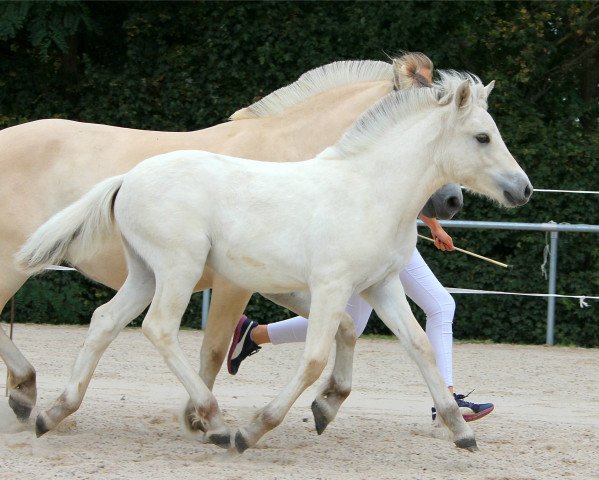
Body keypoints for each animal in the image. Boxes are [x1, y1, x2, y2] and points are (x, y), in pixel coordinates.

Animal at [16, 69, 532, 452]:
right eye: (482, 137)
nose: (523, 189)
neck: (369, 189)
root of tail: (128, 177)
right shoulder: (330, 285)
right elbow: (314, 357)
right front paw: (257, 427)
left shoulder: (380, 285)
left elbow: (417, 346)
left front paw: (460, 431)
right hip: (178, 270)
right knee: (158, 328)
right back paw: (215, 422)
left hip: (145, 273)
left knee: (105, 320)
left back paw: (51, 413)